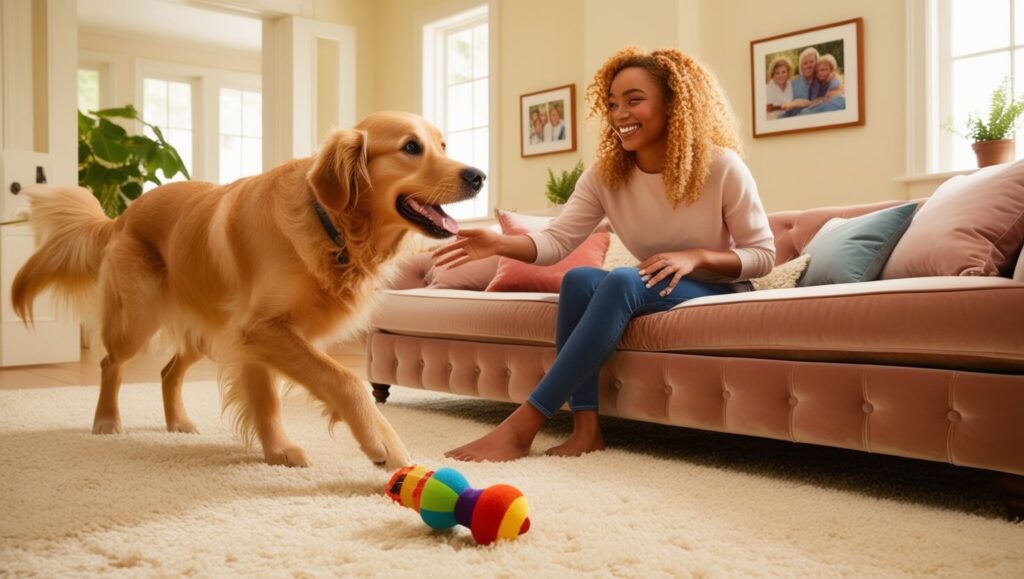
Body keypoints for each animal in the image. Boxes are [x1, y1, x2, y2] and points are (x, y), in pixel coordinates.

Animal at [11, 110, 483, 467]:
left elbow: (268, 395)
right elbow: (342, 380)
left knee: (167, 371)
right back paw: (107, 421)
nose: (478, 175)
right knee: (111, 362)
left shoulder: (260, 336)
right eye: (410, 147)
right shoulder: (259, 329)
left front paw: (276, 451)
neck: (331, 226)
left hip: (210, 329)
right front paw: (381, 443)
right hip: (138, 319)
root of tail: (121, 216)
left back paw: (178, 422)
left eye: (442, 145)